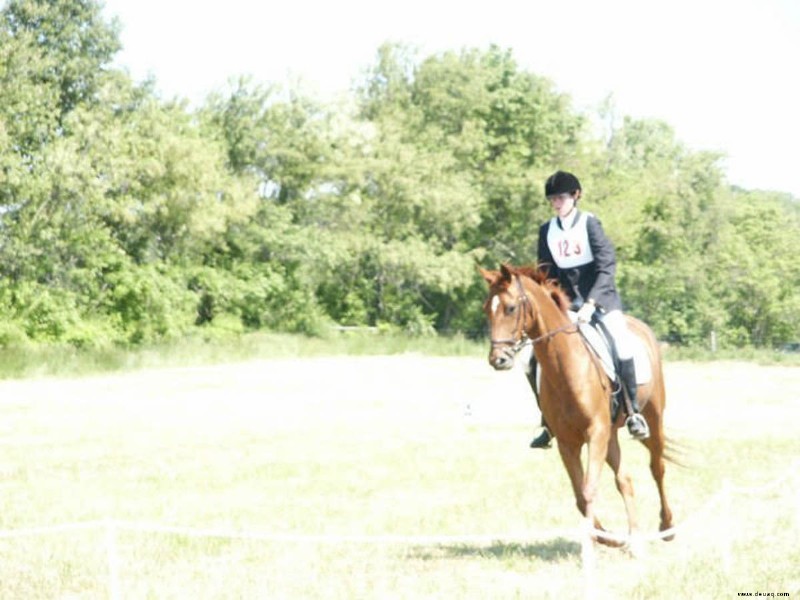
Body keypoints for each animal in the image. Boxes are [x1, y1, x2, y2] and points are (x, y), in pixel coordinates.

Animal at [482, 264, 676, 548]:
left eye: (510, 308)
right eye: (487, 308)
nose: (498, 359)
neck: (566, 366)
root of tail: (640, 327)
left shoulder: (595, 433)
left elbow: (589, 488)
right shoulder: (568, 441)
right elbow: (580, 495)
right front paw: (605, 538)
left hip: (652, 418)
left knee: (657, 468)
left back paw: (667, 527)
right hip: (610, 435)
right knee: (624, 479)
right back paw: (633, 538)